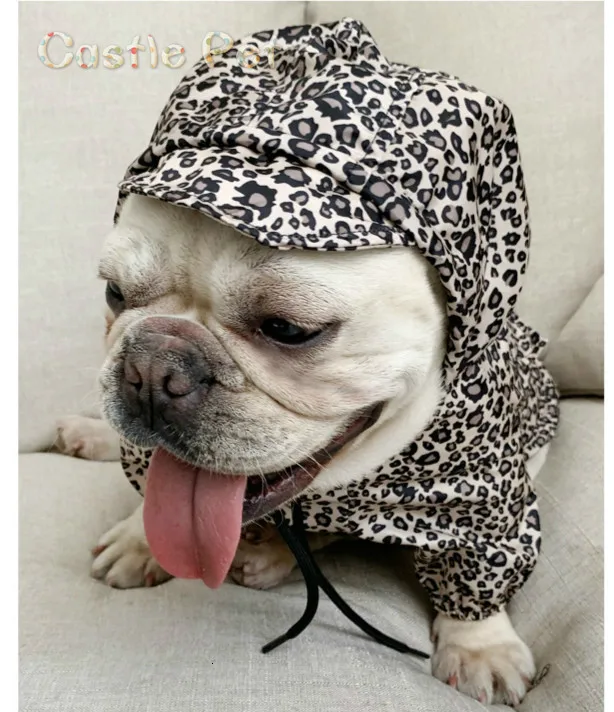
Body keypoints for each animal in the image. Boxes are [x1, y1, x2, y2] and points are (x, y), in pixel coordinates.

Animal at [57, 191, 547, 705]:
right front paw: (139, 541)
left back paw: (270, 555)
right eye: (115, 292)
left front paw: (480, 644)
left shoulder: (481, 488)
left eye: (287, 329)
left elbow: (475, 554)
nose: (153, 368)